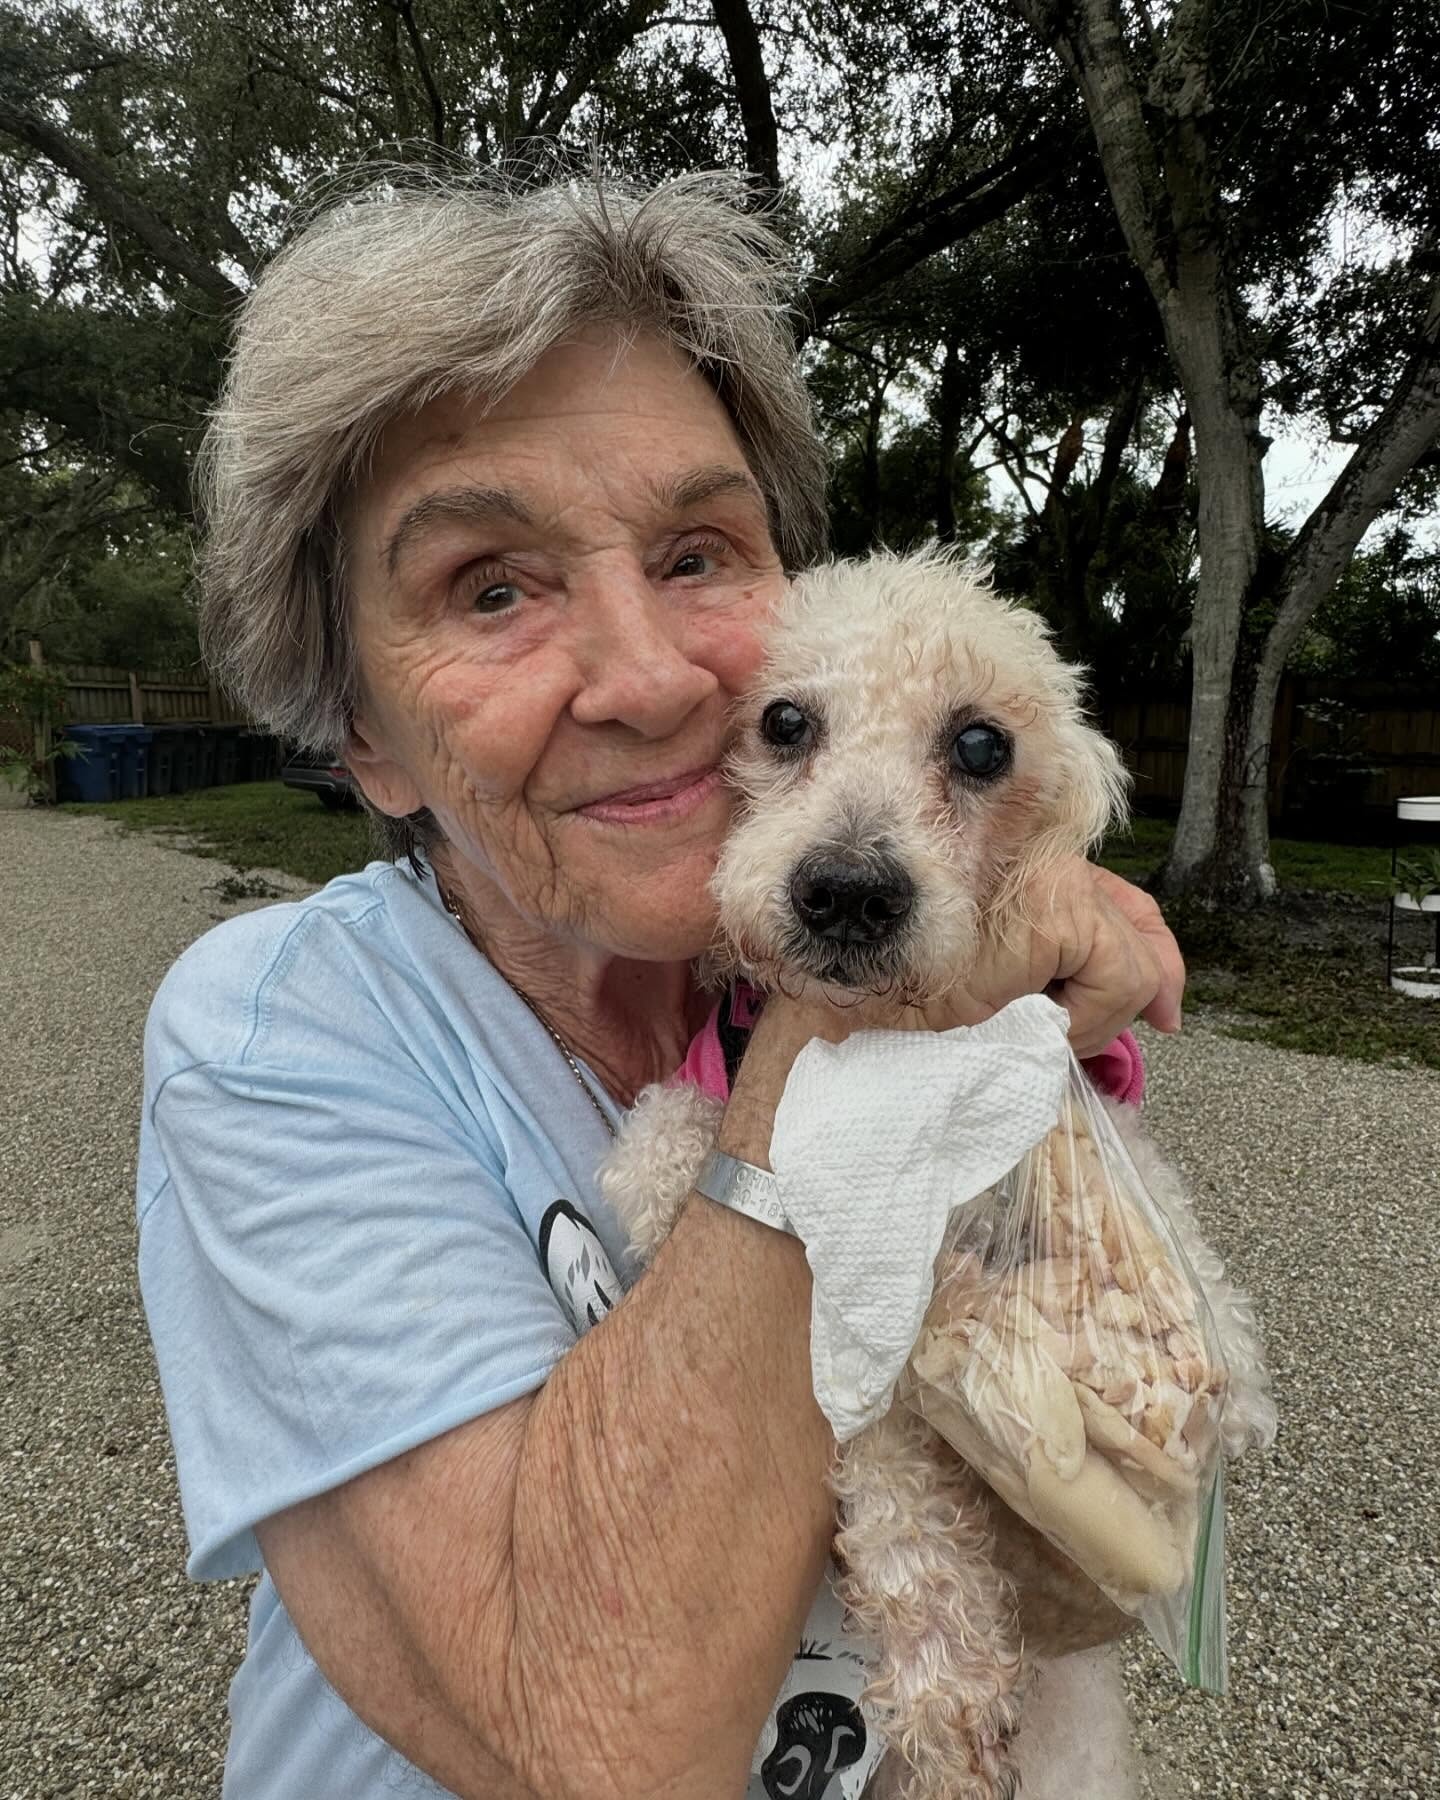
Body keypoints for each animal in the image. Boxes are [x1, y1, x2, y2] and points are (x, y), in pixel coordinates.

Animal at [601, 547, 1274, 1800]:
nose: (846, 891)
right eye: (783, 720)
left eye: (980, 744)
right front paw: (945, 1674)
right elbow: (887, 1469)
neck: (893, 1058)